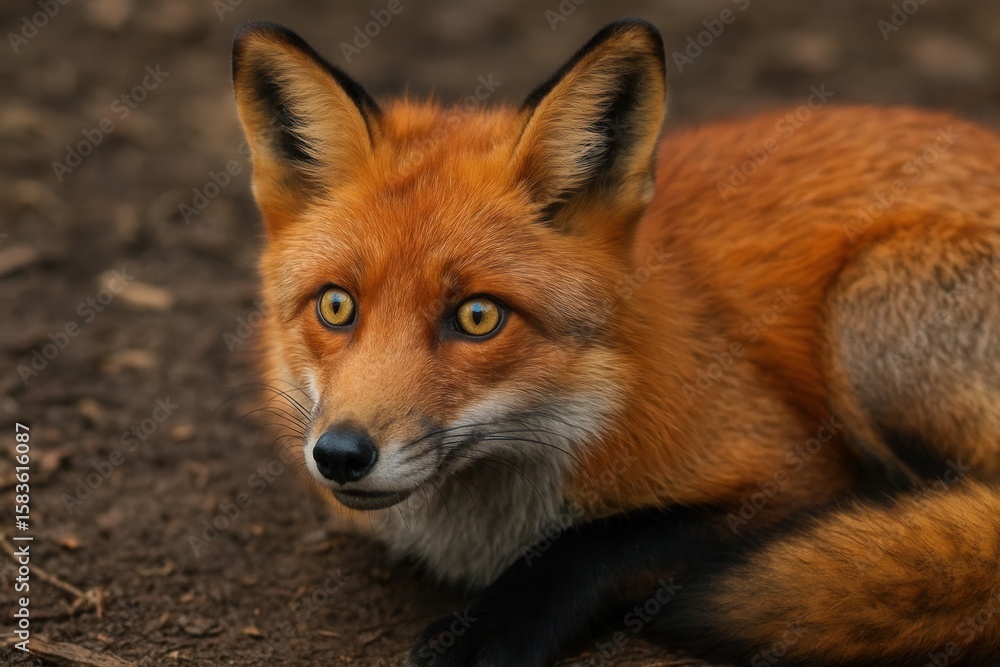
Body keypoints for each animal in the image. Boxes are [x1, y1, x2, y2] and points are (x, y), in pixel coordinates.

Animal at [231, 17, 1000, 667]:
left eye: (478, 316)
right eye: (337, 306)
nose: (341, 455)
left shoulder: (798, 470)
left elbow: (603, 539)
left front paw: (491, 629)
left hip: (864, 308)